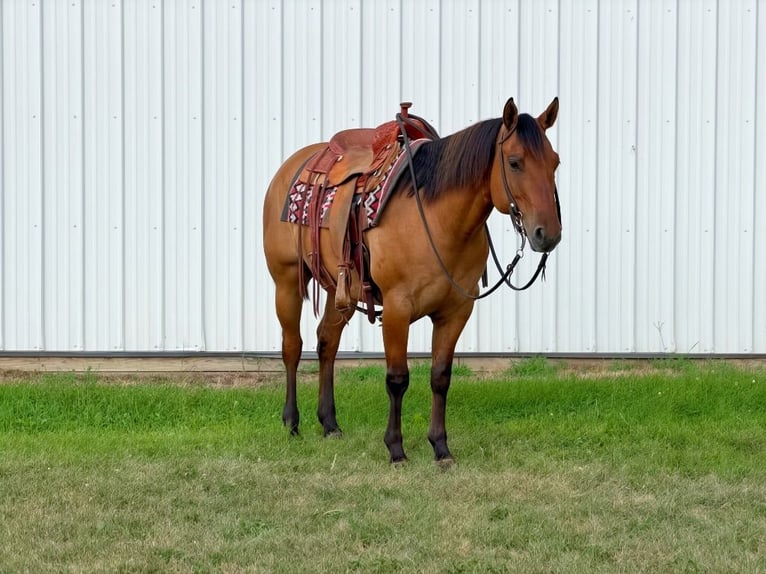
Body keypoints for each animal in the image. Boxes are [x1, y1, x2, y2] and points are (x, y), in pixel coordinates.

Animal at [262, 97, 561, 463]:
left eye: (555, 162)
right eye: (515, 162)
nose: (547, 234)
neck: (438, 221)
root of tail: (292, 165)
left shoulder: (455, 311)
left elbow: (440, 377)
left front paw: (441, 447)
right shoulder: (396, 308)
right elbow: (397, 379)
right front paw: (396, 448)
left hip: (339, 288)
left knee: (326, 343)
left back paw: (330, 424)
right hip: (286, 281)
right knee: (292, 347)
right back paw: (291, 422)